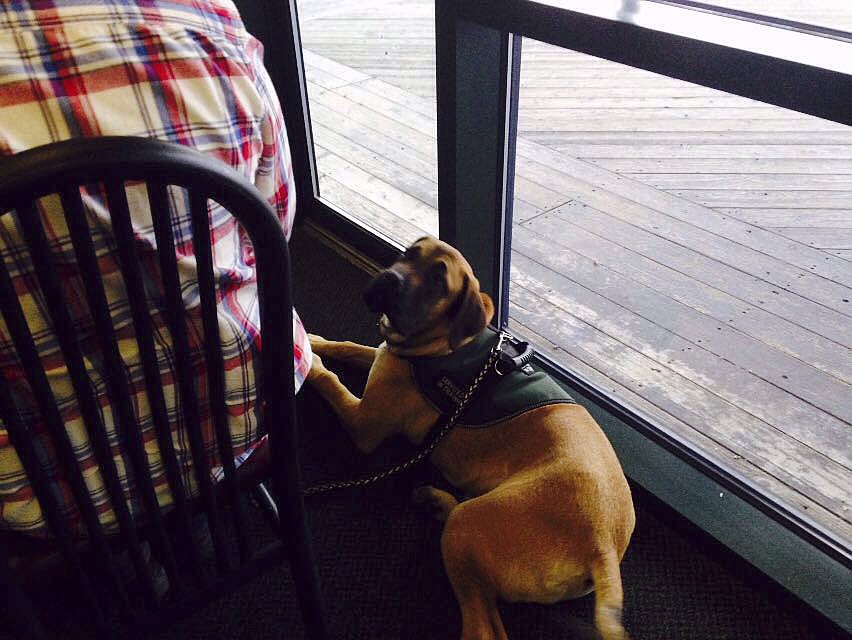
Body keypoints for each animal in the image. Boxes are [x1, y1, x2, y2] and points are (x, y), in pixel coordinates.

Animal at [306, 236, 632, 640]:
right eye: (408, 255)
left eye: (438, 283)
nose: (388, 280)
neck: (439, 346)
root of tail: (603, 546)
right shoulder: (385, 358)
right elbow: (351, 347)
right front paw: (315, 341)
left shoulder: (363, 423)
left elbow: (331, 381)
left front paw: (307, 362)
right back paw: (437, 500)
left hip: (472, 527)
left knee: (482, 627)